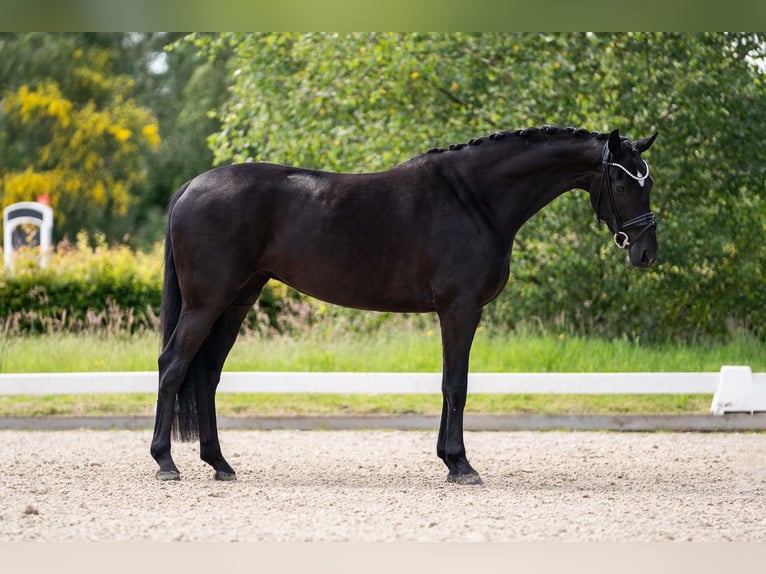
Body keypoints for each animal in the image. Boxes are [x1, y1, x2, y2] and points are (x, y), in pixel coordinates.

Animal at [152, 125, 660, 486]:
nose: (646, 253)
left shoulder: (458, 311)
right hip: (206, 302)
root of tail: (192, 185)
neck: (475, 199)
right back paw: (165, 462)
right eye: (622, 182)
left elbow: (450, 384)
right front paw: (460, 465)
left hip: (238, 300)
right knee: (173, 364)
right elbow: (456, 385)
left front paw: (450, 461)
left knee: (207, 373)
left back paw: (219, 463)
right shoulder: (460, 309)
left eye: (647, 182)